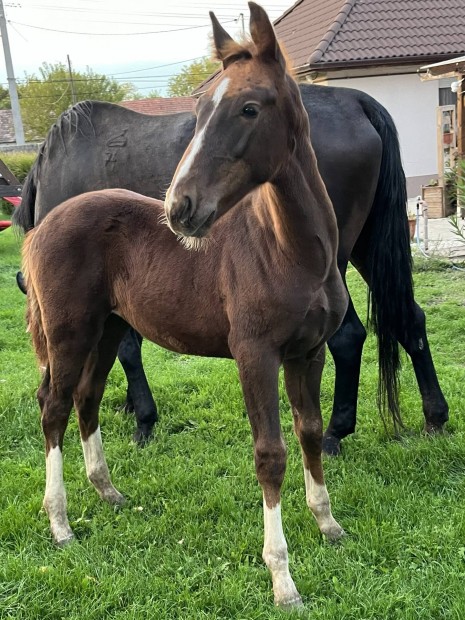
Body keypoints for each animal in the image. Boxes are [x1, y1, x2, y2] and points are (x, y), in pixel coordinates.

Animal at [23, 3, 346, 604]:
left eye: (249, 107)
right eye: (197, 110)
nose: (180, 208)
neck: (290, 249)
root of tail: (41, 225)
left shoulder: (309, 351)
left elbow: (310, 432)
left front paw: (328, 523)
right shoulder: (255, 354)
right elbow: (270, 454)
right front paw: (282, 578)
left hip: (107, 329)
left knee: (86, 398)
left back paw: (108, 493)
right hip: (68, 331)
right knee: (53, 406)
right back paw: (59, 524)